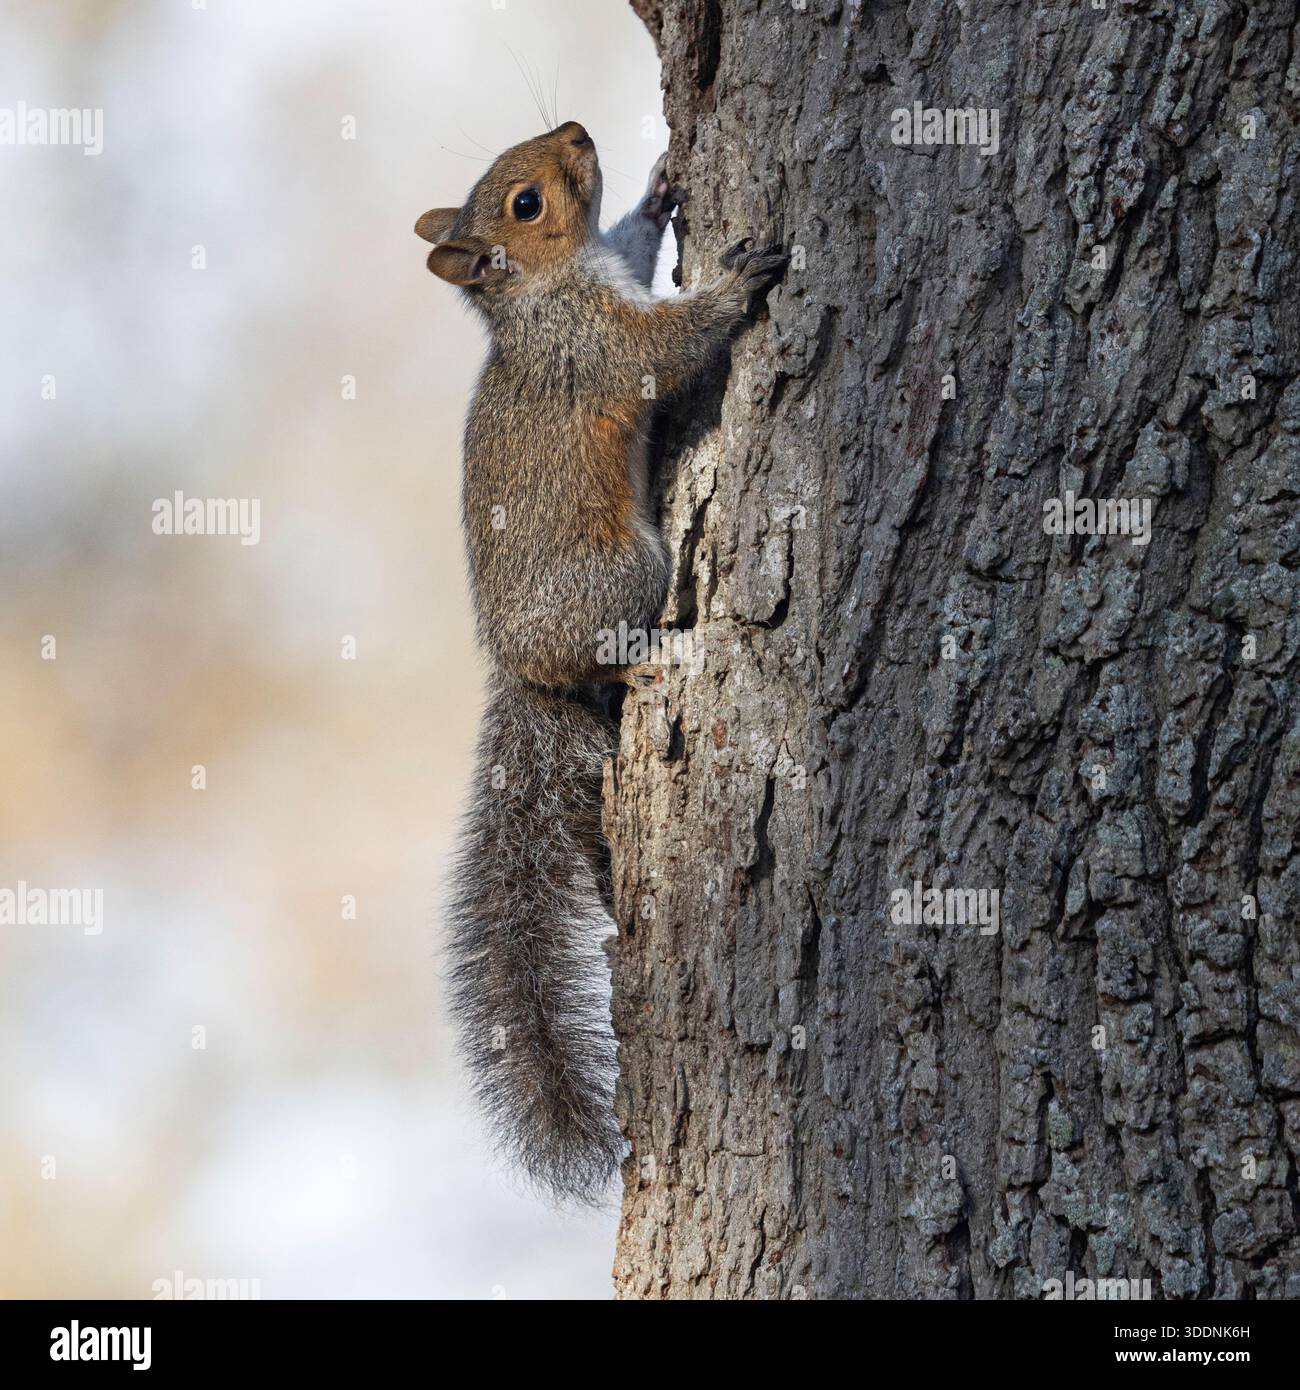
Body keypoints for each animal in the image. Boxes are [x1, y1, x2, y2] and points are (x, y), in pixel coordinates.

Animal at [415, 120, 786, 1203]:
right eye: (526, 204)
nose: (578, 131)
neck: (551, 287)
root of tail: (517, 674)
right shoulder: (597, 343)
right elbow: (662, 348)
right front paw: (732, 285)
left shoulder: (610, 272)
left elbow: (635, 238)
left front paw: (661, 189)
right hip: (629, 570)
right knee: (611, 657)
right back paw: (655, 657)